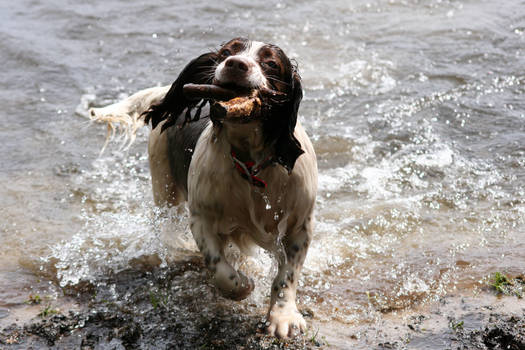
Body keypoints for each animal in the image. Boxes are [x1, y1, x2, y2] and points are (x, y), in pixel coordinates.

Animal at [88, 38, 318, 340]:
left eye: (270, 62)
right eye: (227, 52)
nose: (236, 64)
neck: (250, 162)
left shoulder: (300, 225)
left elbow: (286, 275)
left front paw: (282, 317)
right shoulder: (202, 219)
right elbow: (219, 266)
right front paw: (242, 286)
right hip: (164, 187)